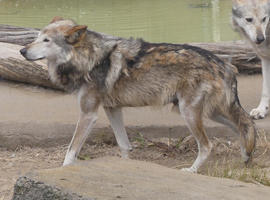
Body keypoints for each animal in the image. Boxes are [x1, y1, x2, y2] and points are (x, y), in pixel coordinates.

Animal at [19, 17, 258, 173]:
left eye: (47, 41)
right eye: (36, 37)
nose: (22, 51)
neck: (89, 58)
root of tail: (224, 63)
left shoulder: (88, 114)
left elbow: (70, 151)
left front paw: (63, 170)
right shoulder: (112, 109)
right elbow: (124, 145)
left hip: (189, 113)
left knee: (209, 145)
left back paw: (191, 170)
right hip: (208, 113)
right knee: (243, 125)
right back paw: (245, 156)